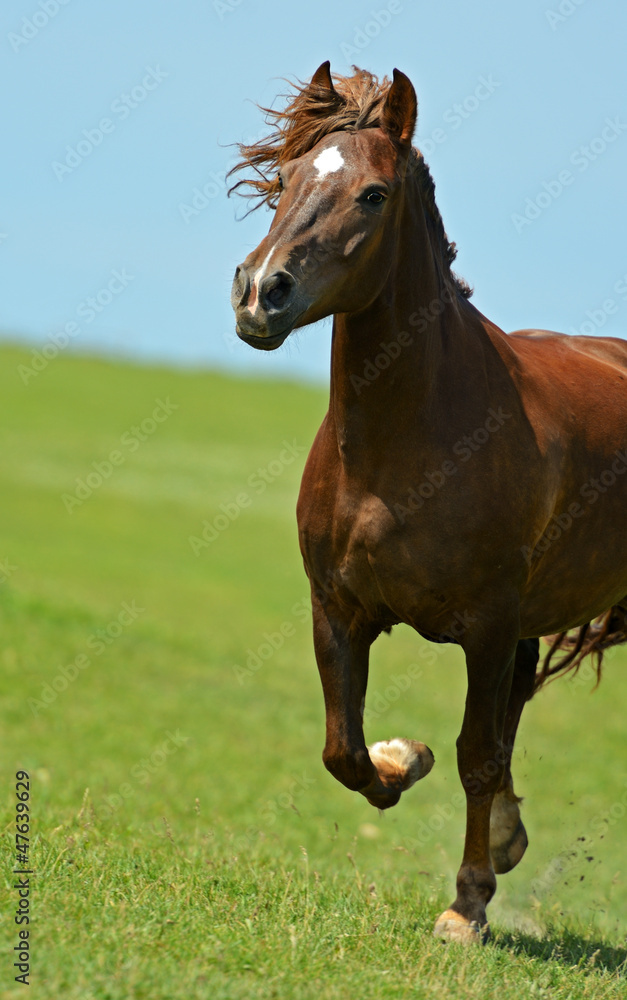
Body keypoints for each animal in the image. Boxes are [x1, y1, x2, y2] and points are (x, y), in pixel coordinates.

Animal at [228, 61, 627, 943]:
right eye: (286, 176)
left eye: (373, 195)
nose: (260, 294)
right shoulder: (338, 610)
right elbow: (344, 751)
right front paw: (401, 759)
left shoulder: (487, 623)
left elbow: (476, 754)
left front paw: (465, 907)